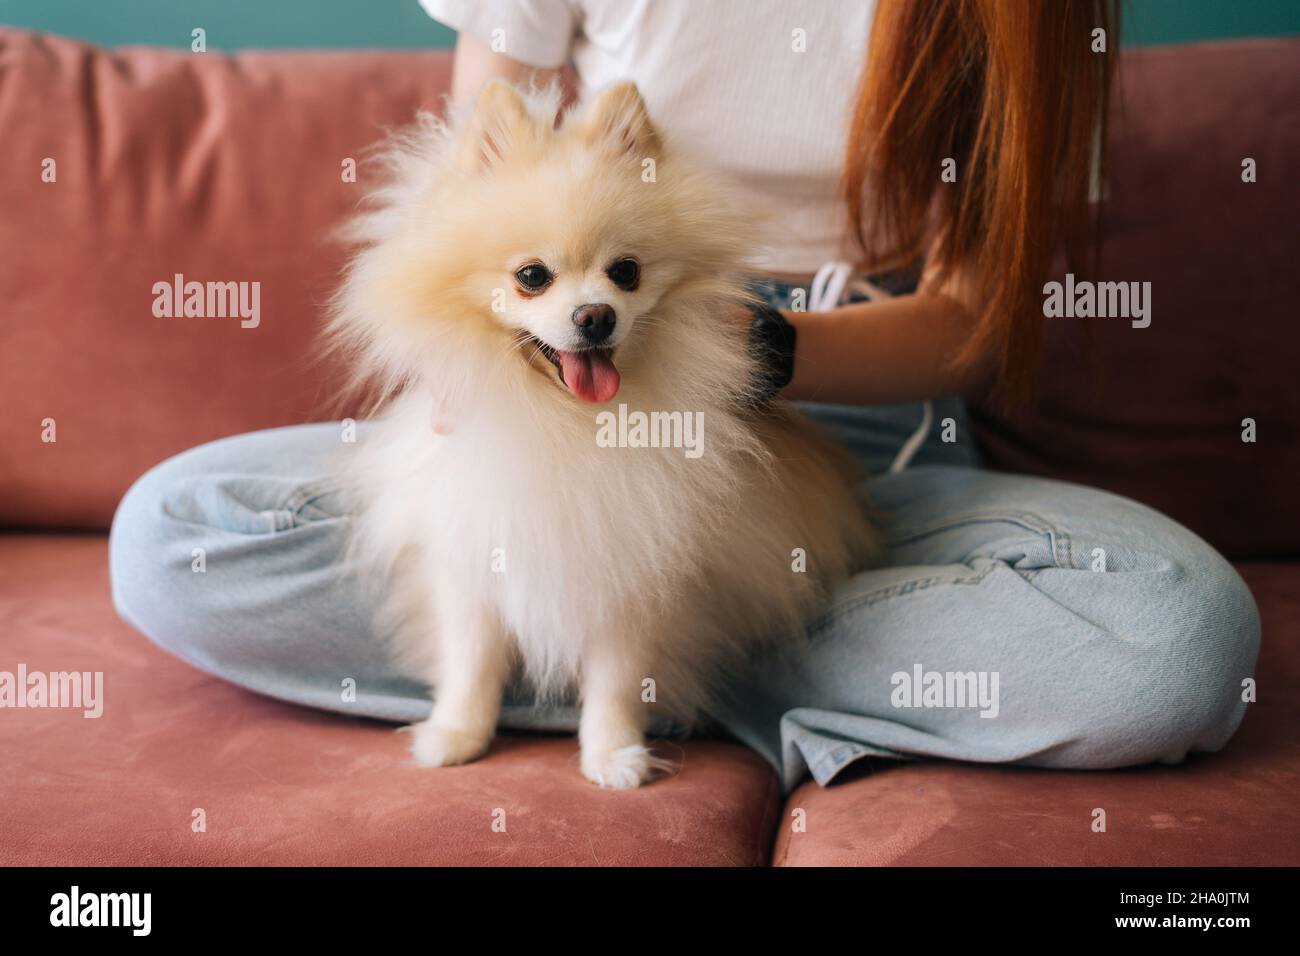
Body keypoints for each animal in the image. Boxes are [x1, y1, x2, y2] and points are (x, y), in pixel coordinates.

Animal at [330, 80, 878, 785]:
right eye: (531, 276)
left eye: (626, 272)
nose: (595, 316)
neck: (567, 423)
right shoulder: (471, 553)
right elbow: (471, 661)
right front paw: (456, 735)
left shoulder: (637, 572)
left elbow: (618, 678)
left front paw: (613, 755)